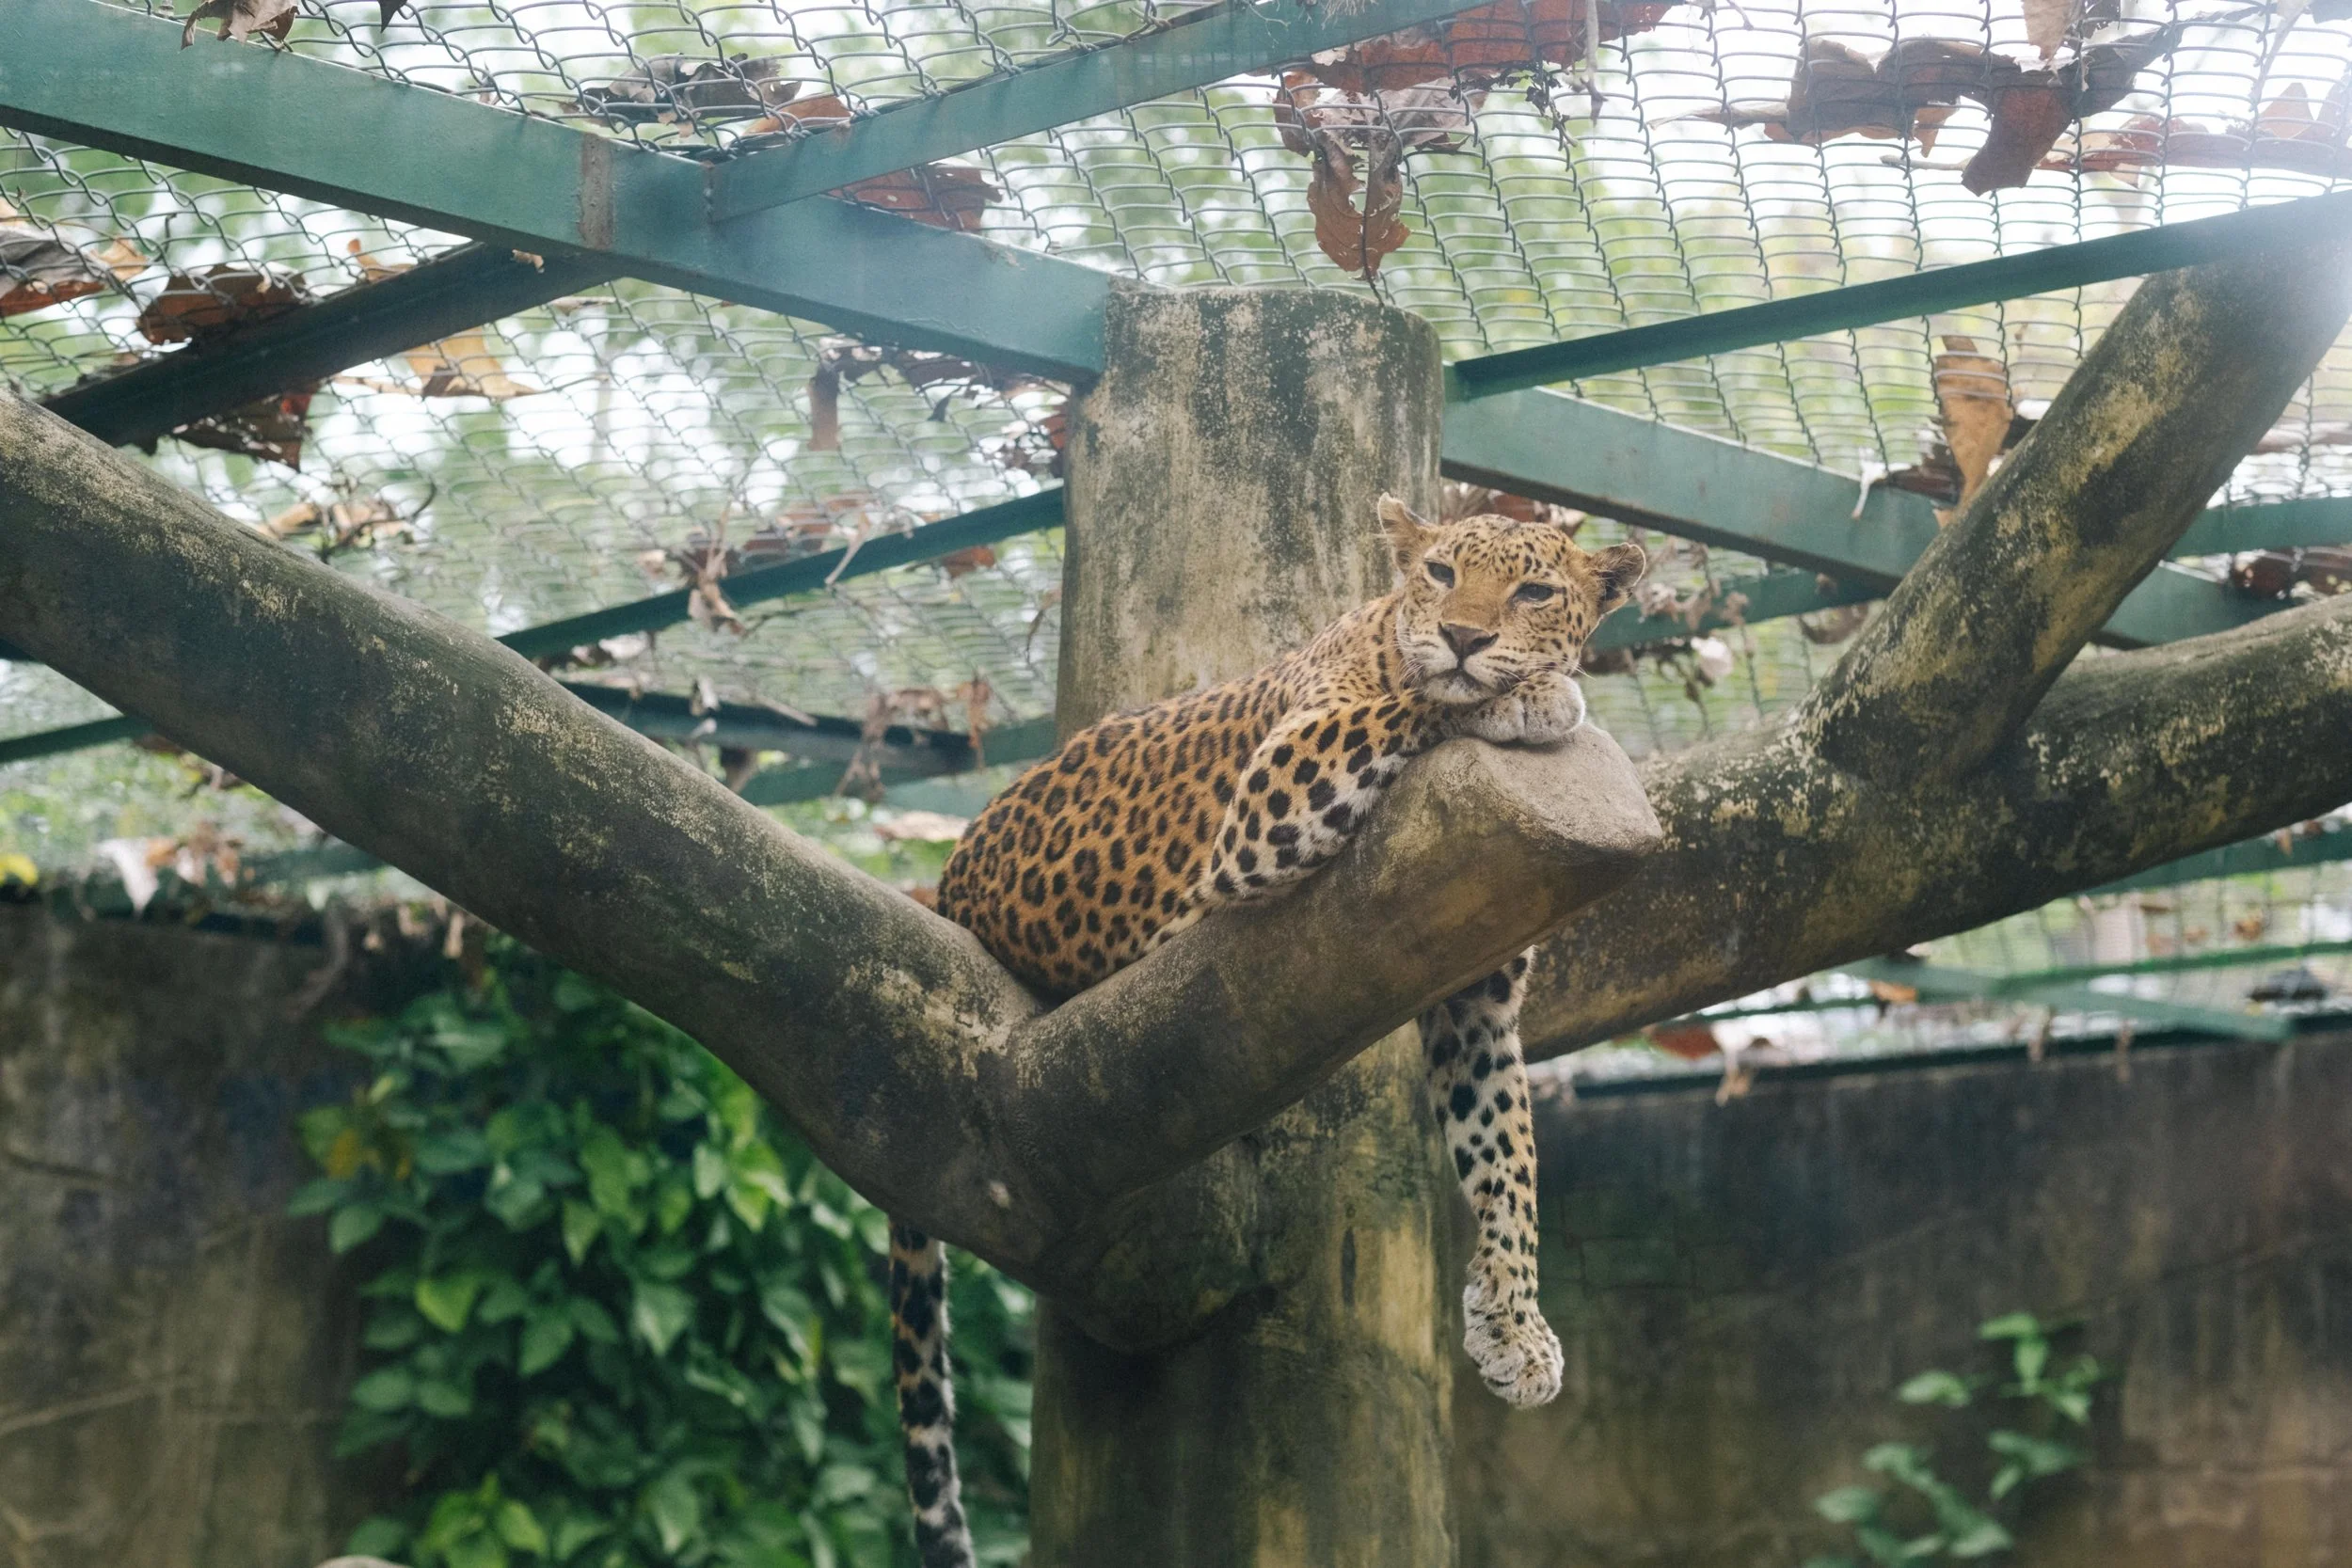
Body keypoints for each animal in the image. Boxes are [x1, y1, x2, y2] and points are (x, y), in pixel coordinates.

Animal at [886, 494, 1645, 1568]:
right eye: (1441, 575)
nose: (1465, 635)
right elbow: (1420, 700)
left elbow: (1507, 1157)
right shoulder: (1278, 783)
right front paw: (1532, 694)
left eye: (1536, 589)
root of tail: (947, 880)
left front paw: (1513, 1325)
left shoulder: (1479, 1001)